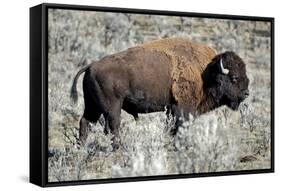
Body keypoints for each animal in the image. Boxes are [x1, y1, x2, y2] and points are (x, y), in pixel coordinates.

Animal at [71, 37, 248, 148]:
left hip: (92, 106)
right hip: (112, 107)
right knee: (112, 125)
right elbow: (180, 127)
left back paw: (81, 148)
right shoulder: (183, 108)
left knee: (86, 122)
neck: (205, 72)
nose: (246, 93)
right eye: (234, 77)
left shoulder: (171, 108)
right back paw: (117, 147)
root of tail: (91, 65)